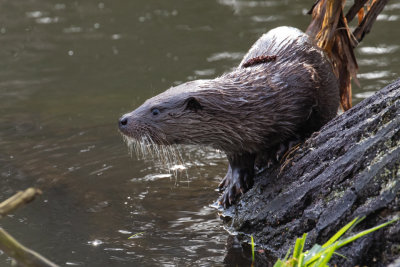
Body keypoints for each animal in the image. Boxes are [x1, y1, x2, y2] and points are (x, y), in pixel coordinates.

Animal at [118, 26, 338, 207]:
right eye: (145, 101)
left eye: (155, 110)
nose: (122, 120)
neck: (258, 103)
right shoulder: (234, 142)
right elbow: (237, 161)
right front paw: (233, 185)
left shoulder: (304, 83)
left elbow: (307, 123)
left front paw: (283, 146)